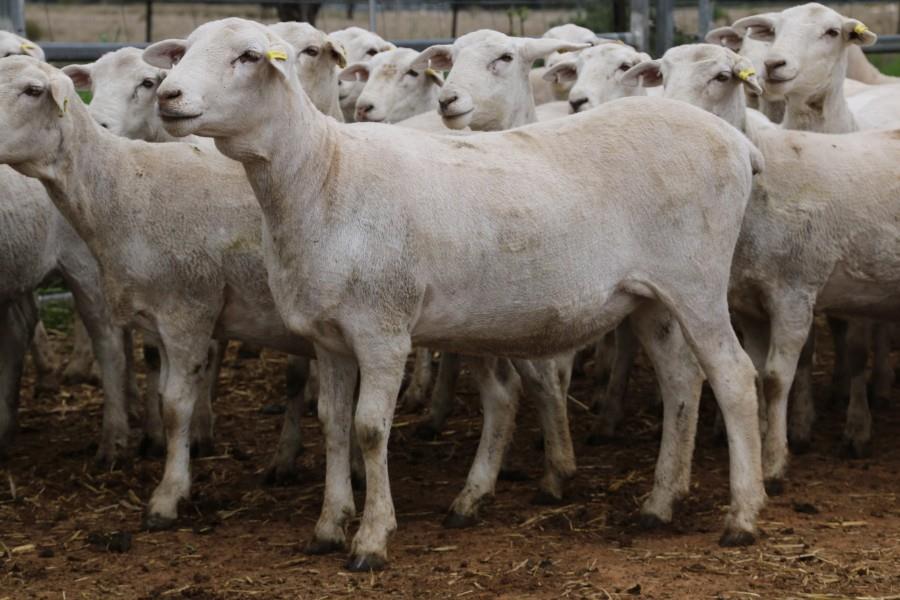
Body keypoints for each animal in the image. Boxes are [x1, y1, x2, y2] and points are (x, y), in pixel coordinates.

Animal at [148, 18, 766, 569]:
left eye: (250, 56)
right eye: (185, 51)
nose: (167, 94)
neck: (324, 174)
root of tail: (736, 142)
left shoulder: (383, 330)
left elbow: (369, 429)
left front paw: (371, 539)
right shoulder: (329, 337)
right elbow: (333, 423)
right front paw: (328, 526)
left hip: (697, 282)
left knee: (734, 377)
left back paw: (743, 515)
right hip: (651, 299)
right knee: (682, 381)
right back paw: (660, 503)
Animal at [622, 43, 900, 496]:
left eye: (722, 77)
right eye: (662, 74)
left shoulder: (795, 293)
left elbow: (774, 379)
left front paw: (774, 464)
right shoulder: (748, 303)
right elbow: (752, 378)